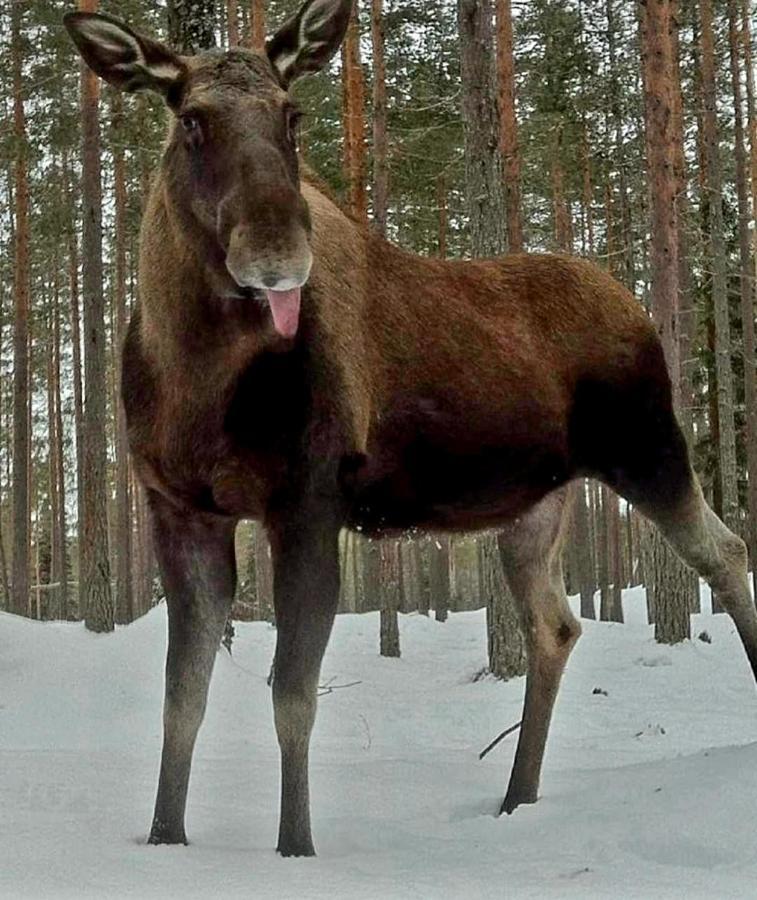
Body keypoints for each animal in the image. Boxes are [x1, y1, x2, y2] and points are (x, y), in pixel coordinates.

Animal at [63, 0, 756, 856]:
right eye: (190, 118)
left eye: (292, 115)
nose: (276, 255)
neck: (191, 377)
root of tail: (633, 305)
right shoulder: (179, 508)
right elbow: (181, 699)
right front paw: (164, 838)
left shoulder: (308, 501)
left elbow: (292, 697)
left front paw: (295, 847)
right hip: (537, 504)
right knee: (555, 624)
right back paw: (515, 797)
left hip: (647, 446)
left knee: (724, 551)